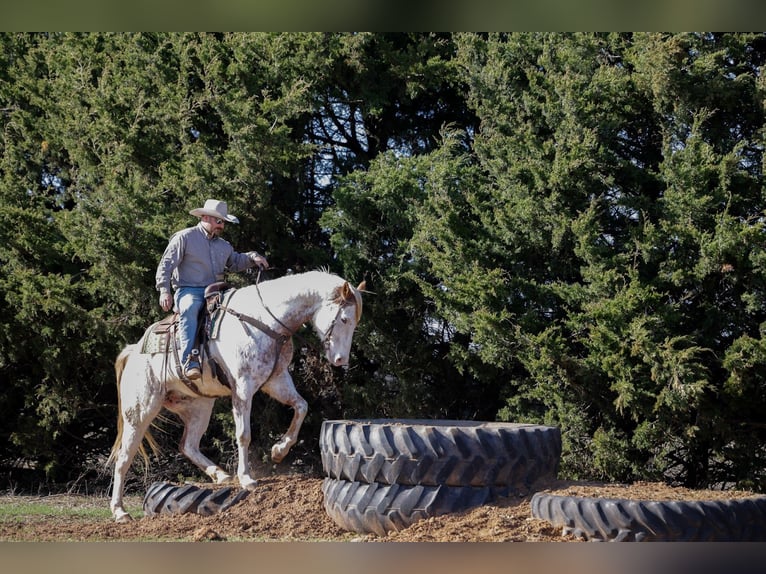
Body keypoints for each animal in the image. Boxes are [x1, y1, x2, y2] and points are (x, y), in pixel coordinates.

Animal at [107, 270, 365, 522]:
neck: (264, 321)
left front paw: (279, 451)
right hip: (140, 412)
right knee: (123, 458)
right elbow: (243, 435)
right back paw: (120, 512)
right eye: (344, 319)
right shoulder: (243, 388)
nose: (341, 360)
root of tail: (134, 350)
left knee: (188, 445)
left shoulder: (276, 381)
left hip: (199, 407)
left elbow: (301, 407)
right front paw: (247, 478)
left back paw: (220, 476)